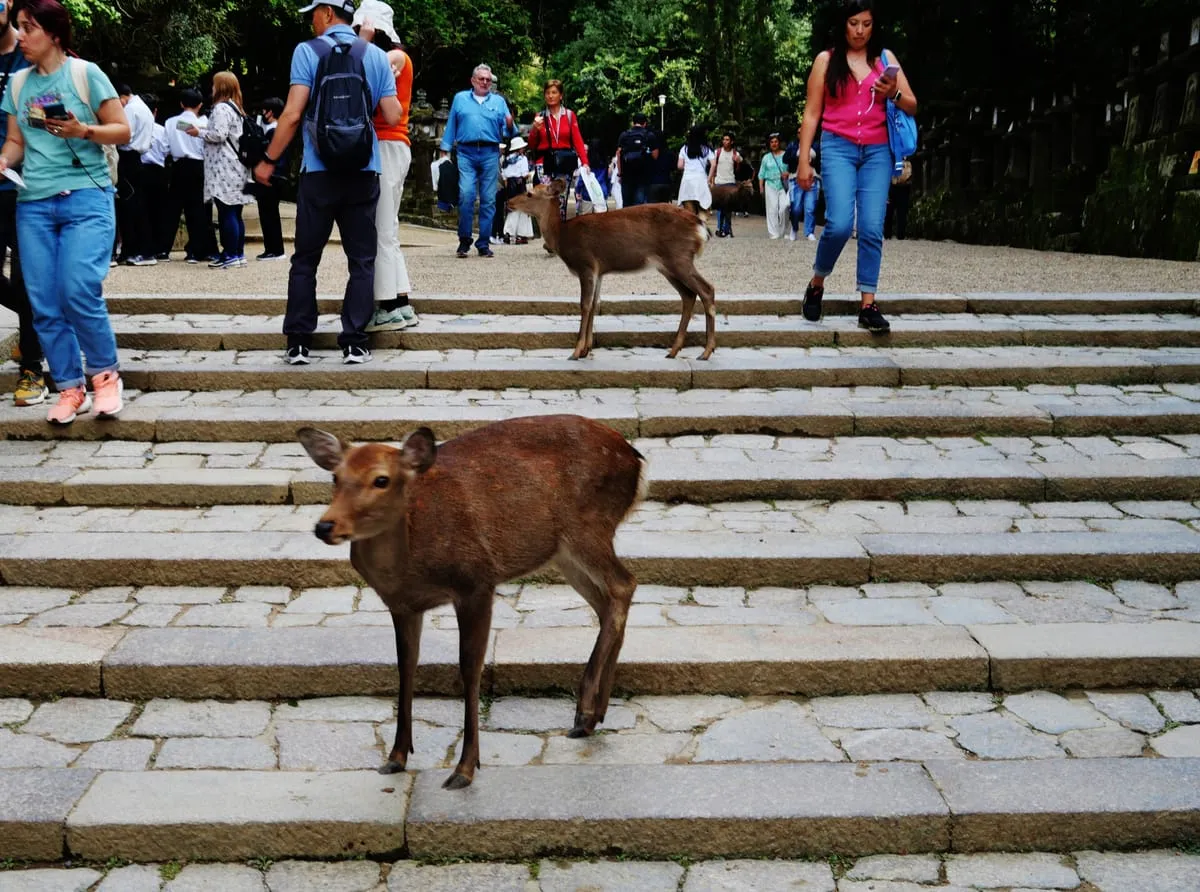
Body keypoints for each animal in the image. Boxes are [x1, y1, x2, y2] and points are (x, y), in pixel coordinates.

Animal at [298, 414, 648, 790]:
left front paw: (464, 769)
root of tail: (635, 459)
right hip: (562, 552)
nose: (325, 526)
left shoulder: (476, 582)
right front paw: (395, 757)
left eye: (381, 479)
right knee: (606, 601)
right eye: (335, 476)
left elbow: (469, 667)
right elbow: (406, 666)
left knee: (624, 584)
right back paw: (595, 714)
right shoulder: (404, 606)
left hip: (588, 527)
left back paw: (584, 712)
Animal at [508, 180, 717, 362]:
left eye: (529, 193)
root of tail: (700, 226)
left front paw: (575, 352)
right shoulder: (599, 271)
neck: (562, 237)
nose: (507, 202)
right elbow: (594, 304)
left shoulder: (586, 264)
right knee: (688, 295)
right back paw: (674, 351)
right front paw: (586, 350)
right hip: (667, 266)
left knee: (707, 289)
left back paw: (706, 352)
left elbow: (584, 305)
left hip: (679, 257)